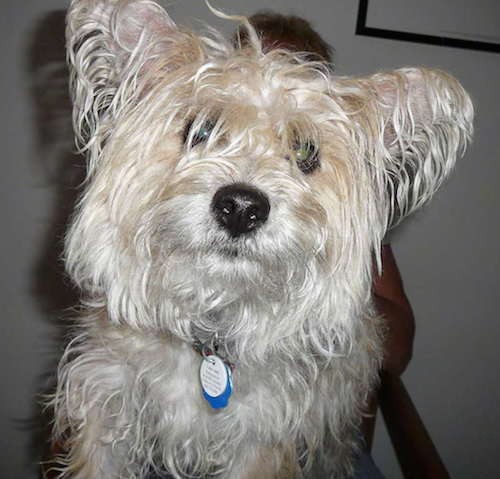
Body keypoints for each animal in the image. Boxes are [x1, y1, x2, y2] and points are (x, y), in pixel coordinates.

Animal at [52, 0, 474, 479]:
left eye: (306, 151)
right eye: (200, 130)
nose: (241, 208)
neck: (211, 332)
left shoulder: (264, 438)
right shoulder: (107, 401)